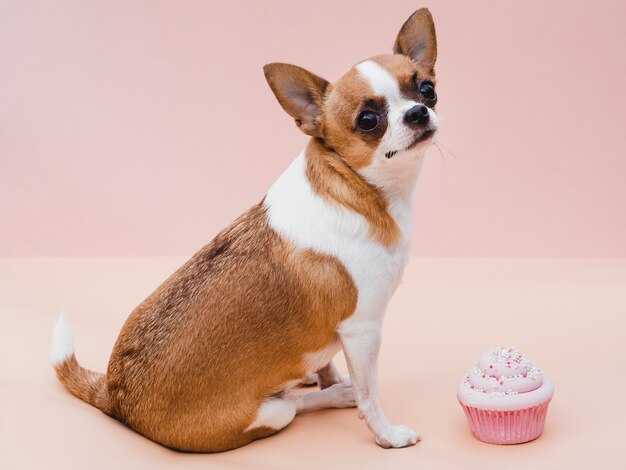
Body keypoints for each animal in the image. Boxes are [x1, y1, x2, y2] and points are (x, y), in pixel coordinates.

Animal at [50, 8, 438, 452]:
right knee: (293, 405)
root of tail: (116, 398)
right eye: (368, 120)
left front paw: (331, 378)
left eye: (427, 89)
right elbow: (369, 394)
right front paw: (386, 434)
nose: (418, 112)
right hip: (272, 414)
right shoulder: (363, 331)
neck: (358, 188)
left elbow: (329, 360)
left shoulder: (341, 333)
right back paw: (335, 395)